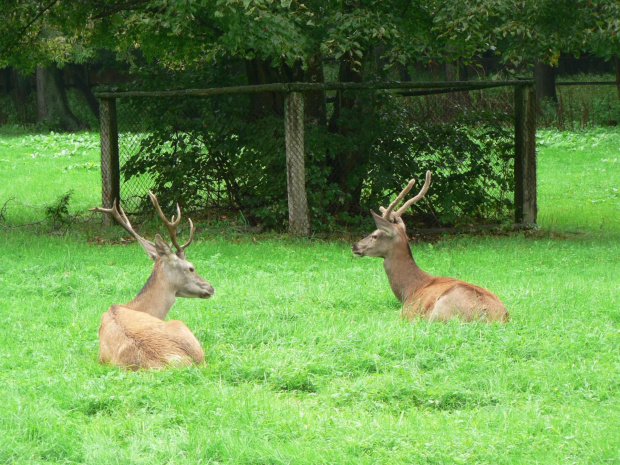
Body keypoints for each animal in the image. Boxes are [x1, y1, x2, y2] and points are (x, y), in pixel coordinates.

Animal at [354, 171, 508, 322]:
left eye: (374, 235)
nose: (355, 246)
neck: (410, 290)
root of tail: (497, 318)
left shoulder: (406, 312)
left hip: (441, 309)